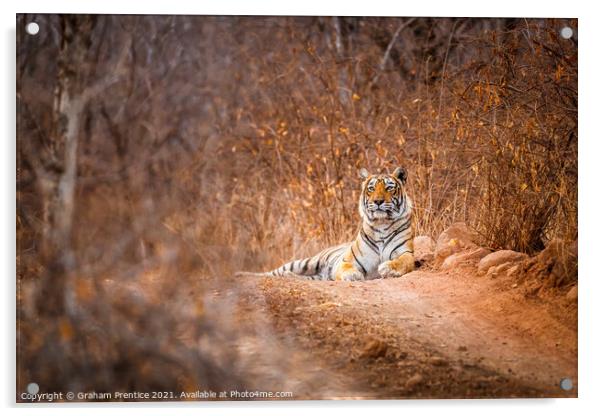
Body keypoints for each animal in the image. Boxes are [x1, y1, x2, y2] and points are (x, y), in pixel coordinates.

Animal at [237, 167, 414, 282]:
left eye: (389, 188)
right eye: (371, 188)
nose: (378, 201)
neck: (382, 224)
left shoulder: (406, 252)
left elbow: (403, 261)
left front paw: (387, 268)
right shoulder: (347, 261)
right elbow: (347, 268)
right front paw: (353, 275)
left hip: (314, 275)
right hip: (304, 262)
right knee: (272, 272)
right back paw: (242, 274)